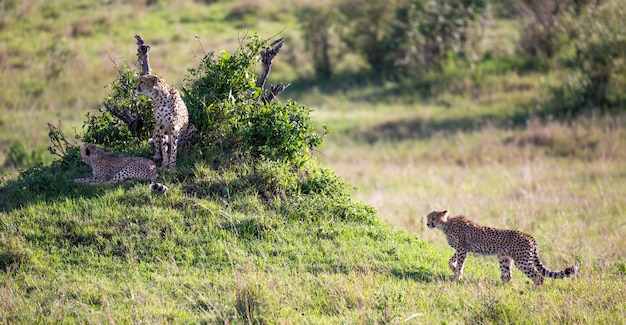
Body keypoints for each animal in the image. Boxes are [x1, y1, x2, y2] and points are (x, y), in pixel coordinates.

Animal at [424, 209, 576, 284]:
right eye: (428, 217)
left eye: (433, 218)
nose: (427, 224)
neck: (446, 225)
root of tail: (528, 235)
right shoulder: (462, 249)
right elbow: (450, 260)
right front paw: (454, 269)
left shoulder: (462, 249)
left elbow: (460, 264)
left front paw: (457, 277)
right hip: (504, 258)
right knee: (507, 276)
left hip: (522, 261)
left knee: (538, 276)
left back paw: (537, 292)